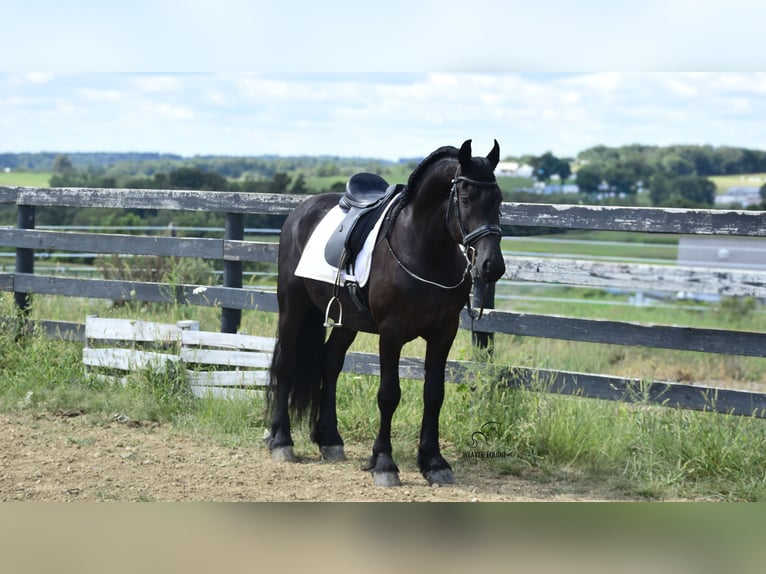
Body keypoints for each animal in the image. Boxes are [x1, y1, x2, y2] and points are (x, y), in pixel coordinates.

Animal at [266, 139, 506, 487]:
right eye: (464, 198)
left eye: (498, 199)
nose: (492, 265)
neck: (422, 248)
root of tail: (300, 212)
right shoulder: (391, 334)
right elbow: (389, 394)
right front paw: (384, 463)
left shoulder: (443, 333)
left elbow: (434, 393)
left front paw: (434, 462)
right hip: (292, 306)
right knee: (286, 362)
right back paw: (281, 441)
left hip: (346, 321)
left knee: (330, 363)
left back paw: (330, 440)